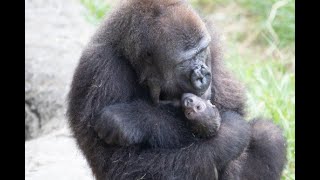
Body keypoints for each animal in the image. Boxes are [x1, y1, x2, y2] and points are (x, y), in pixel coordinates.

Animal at [67, 0, 288, 179]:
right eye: (185, 62)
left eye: (201, 52)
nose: (203, 75)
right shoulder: (101, 69)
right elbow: (124, 166)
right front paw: (224, 140)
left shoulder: (210, 37)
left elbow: (234, 106)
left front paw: (136, 118)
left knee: (268, 135)